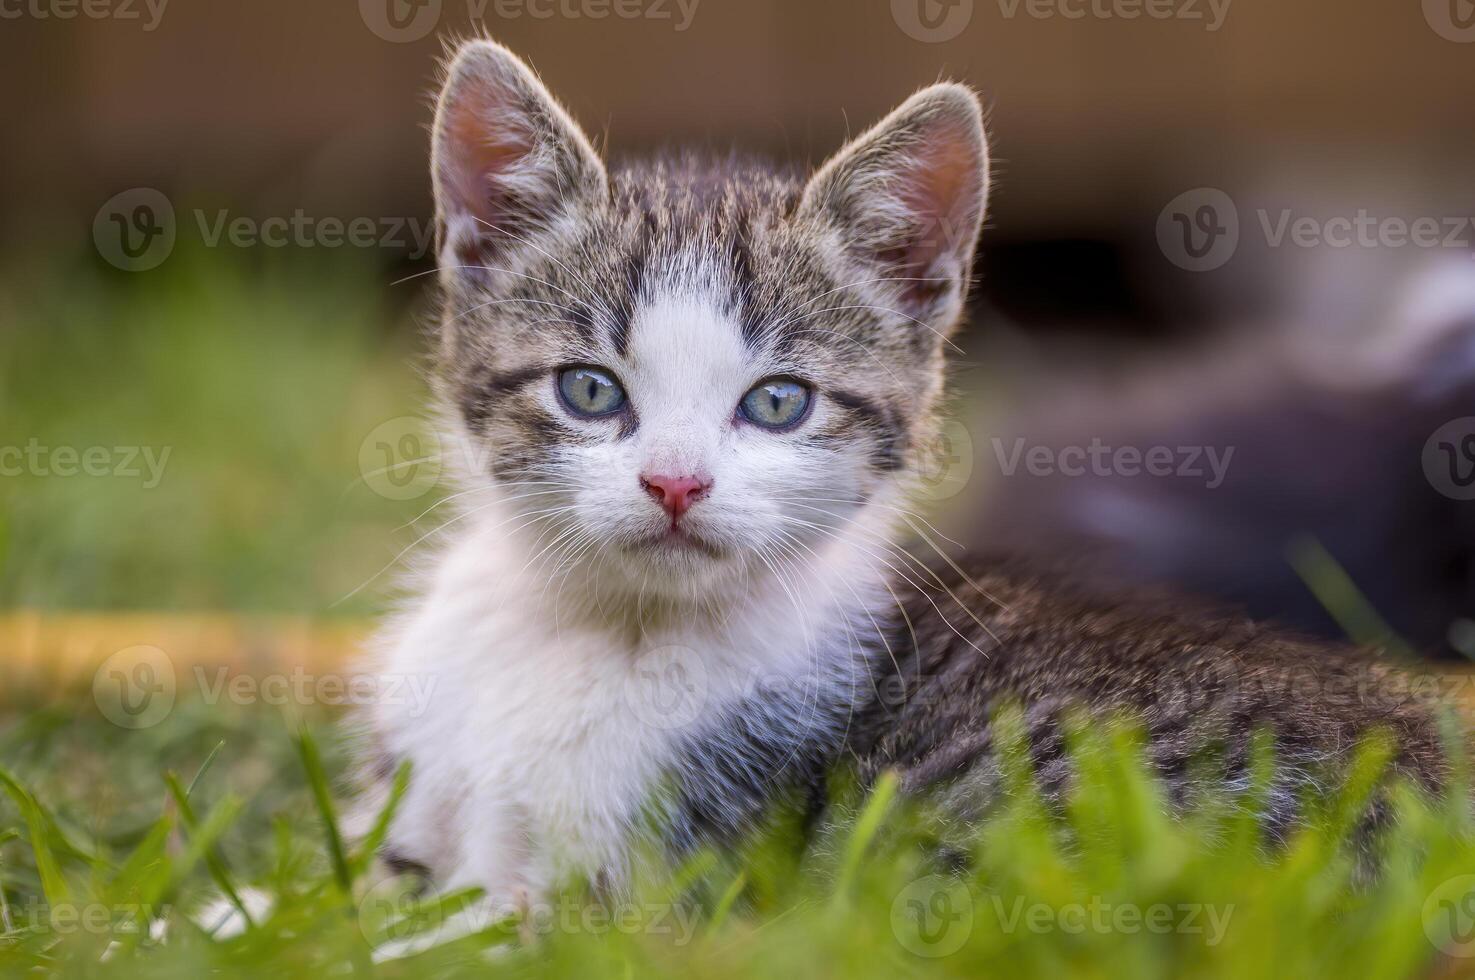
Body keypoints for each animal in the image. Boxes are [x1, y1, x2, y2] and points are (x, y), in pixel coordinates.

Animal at [354, 40, 1451, 909]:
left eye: (778, 402)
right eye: (588, 390)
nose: (674, 486)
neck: (585, 621)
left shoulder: (650, 884)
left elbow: (479, 925)